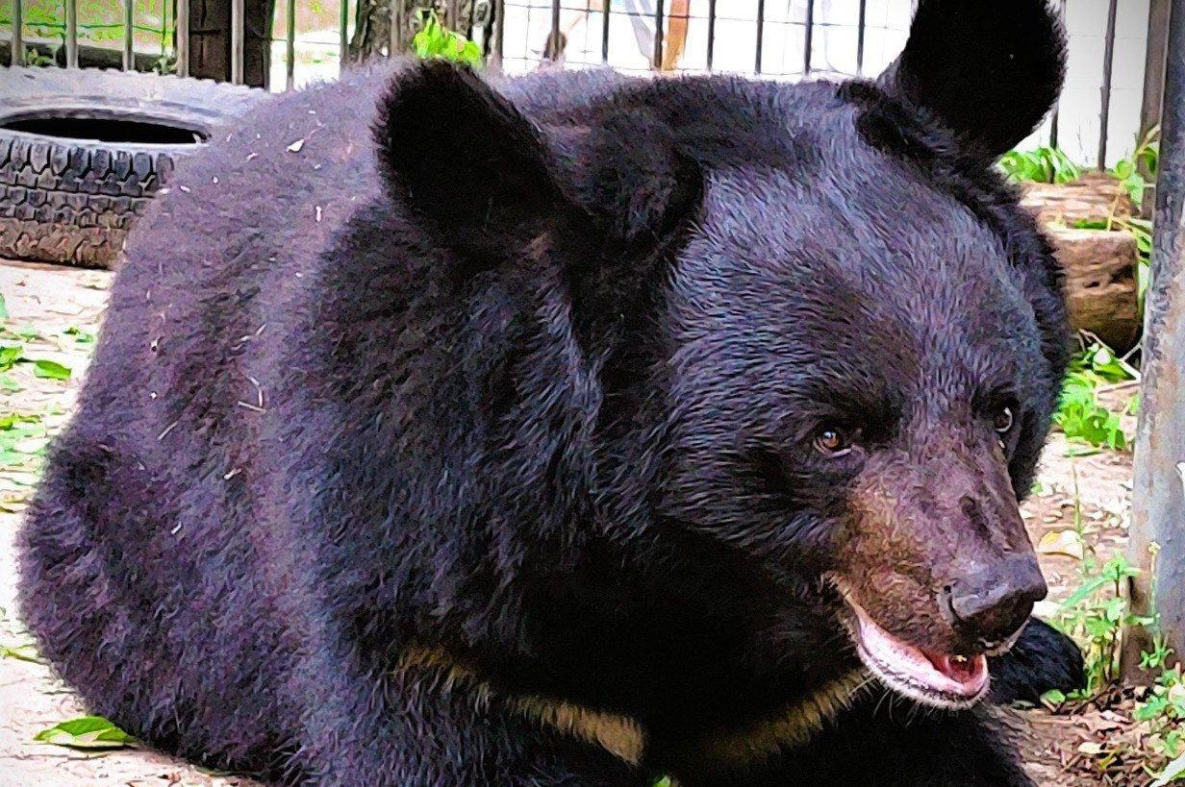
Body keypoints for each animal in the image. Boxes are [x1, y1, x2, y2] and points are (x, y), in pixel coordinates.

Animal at [20, 0, 1085, 782]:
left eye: (1002, 413)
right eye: (830, 435)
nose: (992, 601)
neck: (689, 580)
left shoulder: (819, 701)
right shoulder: (430, 576)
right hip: (125, 559)